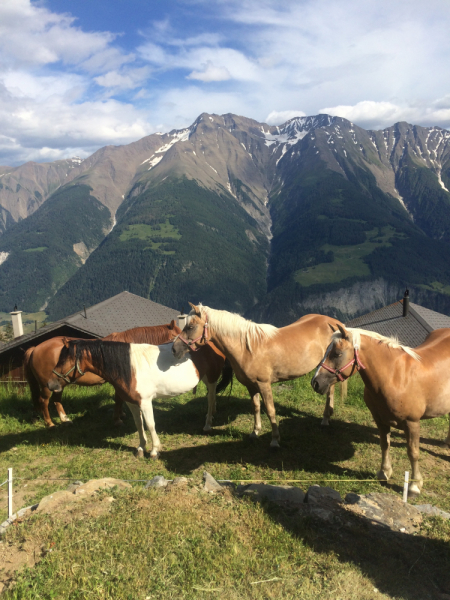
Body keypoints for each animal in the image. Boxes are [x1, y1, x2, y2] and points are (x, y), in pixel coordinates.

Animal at [23, 318, 182, 426]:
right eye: (177, 336)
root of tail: (36, 348)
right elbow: (118, 399)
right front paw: (117, 419)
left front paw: (121, 414)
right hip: (47, 385)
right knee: (44, 401)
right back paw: (49, 423)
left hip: (59, 383)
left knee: (56, 400)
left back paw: (65, 419)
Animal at [47, 338, 227, 460]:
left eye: (65, 359)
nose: (50, 384)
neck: (129, 369)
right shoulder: (131, 403)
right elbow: (139, 425)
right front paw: (141, 448)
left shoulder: (145, 402)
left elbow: (150, 424)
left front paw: (154, 451)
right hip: (205, 378)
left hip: (212, 379)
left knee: (211, 399)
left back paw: (208, 425)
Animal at [171, 302, 344, 448]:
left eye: (190, 326)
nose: (174, 348)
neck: (248, 348)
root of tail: (335, 322)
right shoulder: (251, 385)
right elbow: (256, 407)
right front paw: (255, 432)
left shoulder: (264, 384)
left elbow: (270, 410)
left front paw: (275, 440)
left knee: (330, 393)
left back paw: (325, 419)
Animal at [312, 326, 450, 494]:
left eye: (337, 354)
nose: (315, 383)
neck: (395, 377)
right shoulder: (380, 419)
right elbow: (385, 444)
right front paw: (384, 472)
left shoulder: (412, 423)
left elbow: (413, 453)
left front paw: (414, 485)